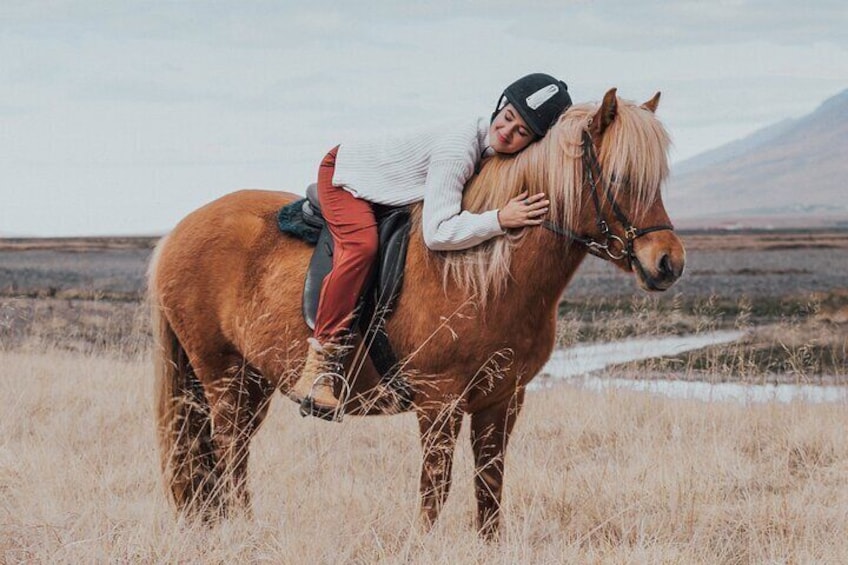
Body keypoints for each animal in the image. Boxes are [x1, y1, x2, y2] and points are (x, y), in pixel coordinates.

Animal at [149, 88, 684, 536]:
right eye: (619, 177)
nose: (668, 262)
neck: (483, 274)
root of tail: (178, 231)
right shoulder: (438, 402)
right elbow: (435, 490)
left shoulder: (502, 401)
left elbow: (489, 489)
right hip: (221, 374)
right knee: (228, 451)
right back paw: (244, 527)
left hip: (252, 380)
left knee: (226, 453)